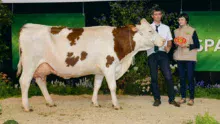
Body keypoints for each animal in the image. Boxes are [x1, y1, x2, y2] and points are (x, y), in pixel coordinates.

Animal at [16, 18, 165, 111]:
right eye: (150, 31)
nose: (164, 40)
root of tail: (27, 26)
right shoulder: (109, 66)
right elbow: (112, 86)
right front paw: (116, 105)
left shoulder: (99, 70)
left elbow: (97, 86)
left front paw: (95, 103)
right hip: (30, 64)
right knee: (24, 82)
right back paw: (27, 107)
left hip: (42, 66)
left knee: (40, 81)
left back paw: (50, 102)